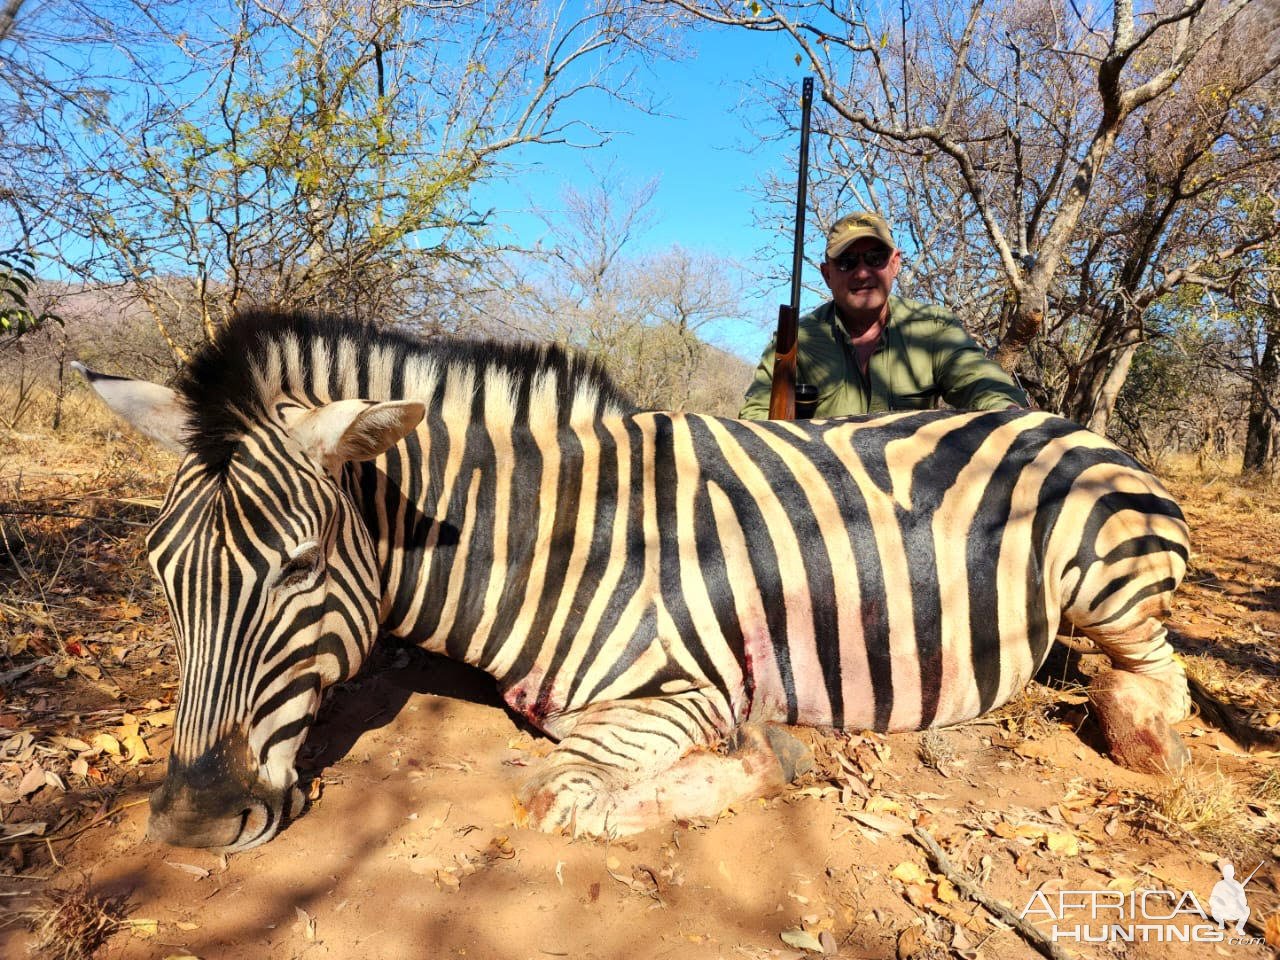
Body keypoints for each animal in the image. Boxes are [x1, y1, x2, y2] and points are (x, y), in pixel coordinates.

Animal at [77, 308, 1198, 849]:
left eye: (301, 567)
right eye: (162, 572)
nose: (191, 825)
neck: (550, 539)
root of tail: (1056, 417)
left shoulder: (689, 686)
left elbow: (556, 792)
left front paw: (770, 760)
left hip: (1108, 577)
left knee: (1156, 678)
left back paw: (1143, 736)